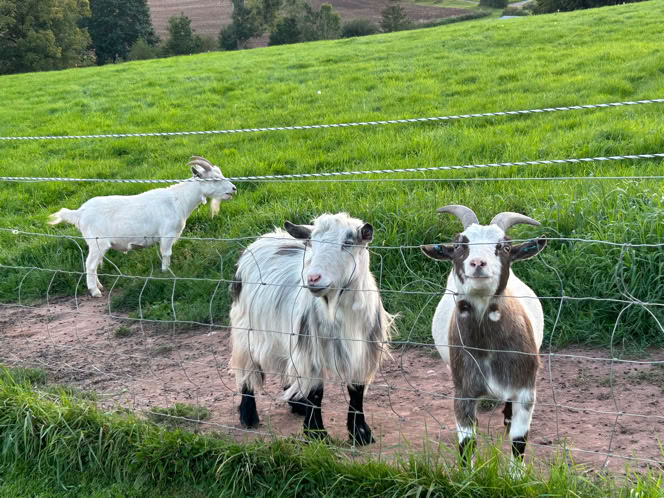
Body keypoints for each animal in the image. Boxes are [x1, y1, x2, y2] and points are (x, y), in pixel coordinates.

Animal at [48, 156, 236, 297]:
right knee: (90, 265)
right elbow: (166, 254)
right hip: (97, 242)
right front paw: (166, 273)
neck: (178, 200)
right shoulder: (167, 234)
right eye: (214, 179)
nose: (233, 189)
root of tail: (80, 212)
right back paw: (95, 291)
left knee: (92, 265)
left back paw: (99, 286)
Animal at [229, 212, 395, 445]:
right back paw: (248, 416)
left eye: (348, 242)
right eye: (312, 243)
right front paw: (316, 433)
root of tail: (263, 238)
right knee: (247, 370)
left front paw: (361, 434)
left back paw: (297, 404)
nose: (313, 278)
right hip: (246, 331)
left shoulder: (363, 349)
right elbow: (316, 391)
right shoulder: (310, 348)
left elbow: (356, 390)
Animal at [420, 205, 547, 468]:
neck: (487, 348)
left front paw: (517, 474)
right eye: (460, 244)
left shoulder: (525, 389)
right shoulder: (463, 389)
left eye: (505, 247)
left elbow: (519, 441)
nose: (478, 263)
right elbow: (466, 443)